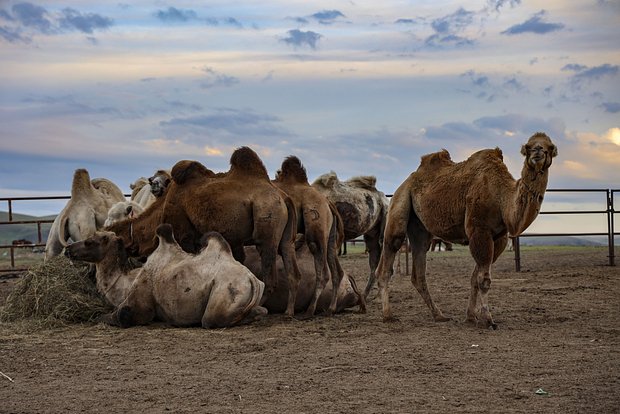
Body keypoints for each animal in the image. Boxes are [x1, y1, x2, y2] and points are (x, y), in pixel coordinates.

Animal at [163, 147, 302, 316]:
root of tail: (284, 198)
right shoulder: (234, 240)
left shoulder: (184, 231)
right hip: (285, 232)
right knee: (290, 260)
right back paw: (289, 311)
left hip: (268, 215)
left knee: (269, 268)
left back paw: (255, 308)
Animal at [274, 155, 348, 316]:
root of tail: (327, 202)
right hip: (330, 236)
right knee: (337, 271)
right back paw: (330, 309)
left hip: (316, 227)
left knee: (323, 270)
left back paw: (309, 310)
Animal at [372, 131, 556, 328]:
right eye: (528, 147)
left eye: (550, 147)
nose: (538, 151)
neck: (501, 196)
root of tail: (407, 180)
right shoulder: (479, 231)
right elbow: (484, 280)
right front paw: (487, 319)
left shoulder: (499, 238)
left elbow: (475, 278)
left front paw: (470, 317)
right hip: (400, 202)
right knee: (389, 253)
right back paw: (388, 315)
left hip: (420, 228)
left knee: (418, 272)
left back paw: (439, 315)